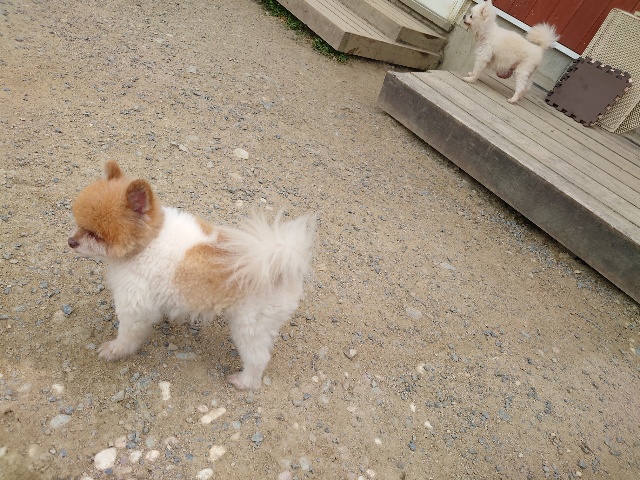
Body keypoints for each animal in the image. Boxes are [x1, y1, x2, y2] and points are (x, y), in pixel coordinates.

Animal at [68, 160, 315, 390]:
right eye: (79, 224)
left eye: (96, 235)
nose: (71, 242)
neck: (149, 241)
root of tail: (280, 260)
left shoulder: (134, 304)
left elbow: (128, 334)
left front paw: (116, 350)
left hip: (249, 326)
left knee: (258, 358)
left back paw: (244, 381)